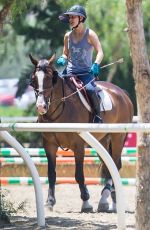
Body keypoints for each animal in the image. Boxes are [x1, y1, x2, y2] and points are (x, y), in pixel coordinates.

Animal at [29, 54, 134, 212]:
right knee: (108, 166)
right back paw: (112, 201)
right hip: (102, 141)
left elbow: (79, 174)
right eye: (34, 79)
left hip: (118, 138)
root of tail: (122, 92)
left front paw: (86, 202)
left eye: (49, 78)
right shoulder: (49, 145)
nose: (41, 107)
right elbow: (51, 174)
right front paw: (50, 202)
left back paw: (106, 199)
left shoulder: (78, 145)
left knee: (115, 164)